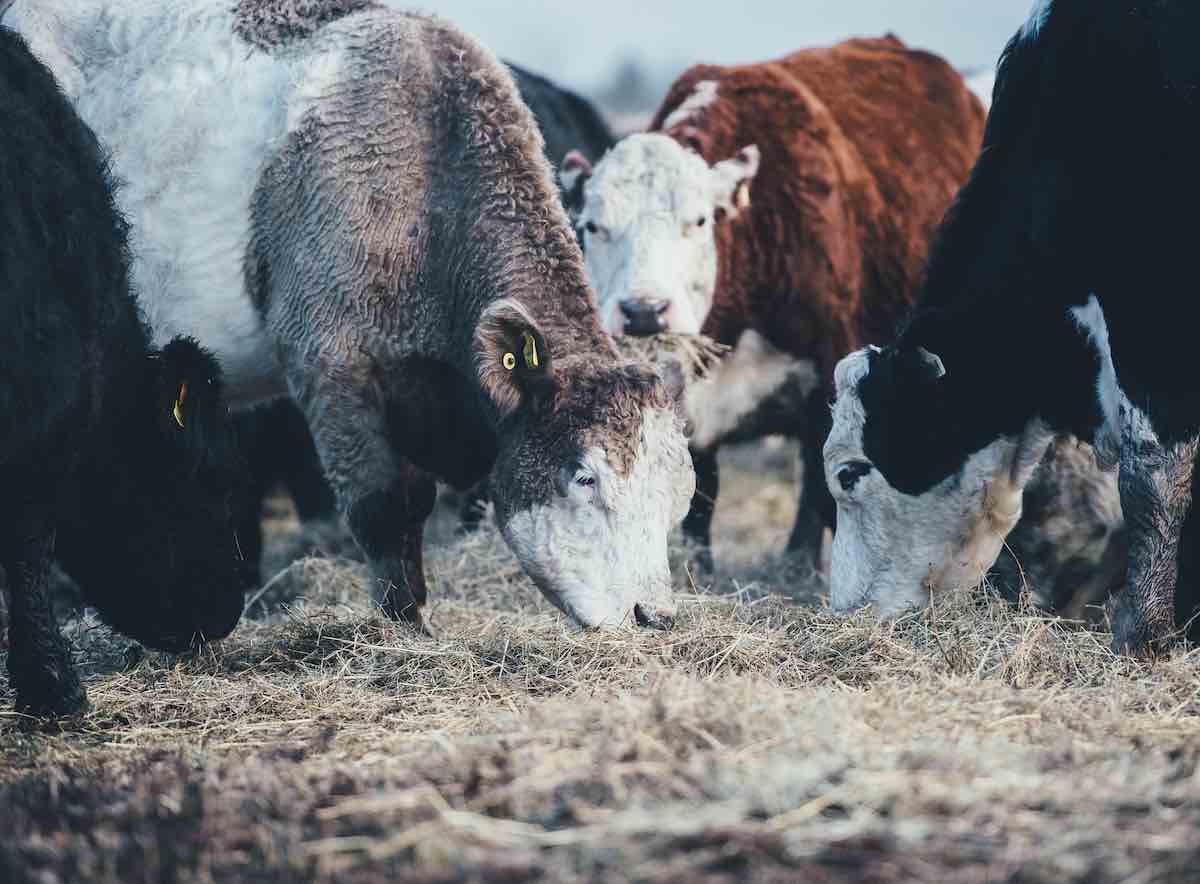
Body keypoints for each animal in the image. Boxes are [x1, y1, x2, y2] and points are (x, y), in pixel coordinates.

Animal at [9, 1, 700, 633]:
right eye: (584, 477)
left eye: (678, 490)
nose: (654, 615)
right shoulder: (330, 365)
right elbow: (382, 509)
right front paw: (404, 630)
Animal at [559, 36, 984, 566]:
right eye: (593, 226)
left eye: (700, 220)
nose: (643, 311)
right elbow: (701, 490)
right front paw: (698, 563)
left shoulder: (829, 374)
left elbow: (823, 483)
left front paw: (805, 566)